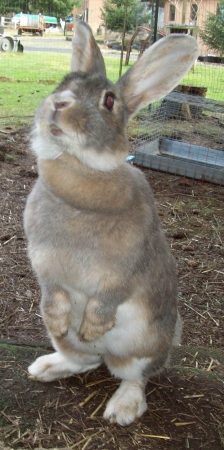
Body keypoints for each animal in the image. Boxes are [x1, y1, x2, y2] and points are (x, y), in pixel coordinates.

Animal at [24, 21, 200, 428]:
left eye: (108, 101)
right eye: (64, 83)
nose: (59, 104)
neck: (78, 170)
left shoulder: (126, 270)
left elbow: (108, 297)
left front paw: (93, 326)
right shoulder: (44, 265)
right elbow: (53, 291)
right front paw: (58, 318)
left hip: (142, 344)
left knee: (134, 375)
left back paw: (122, 408)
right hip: (72, 344)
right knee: (85, 360)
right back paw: (45, 367)